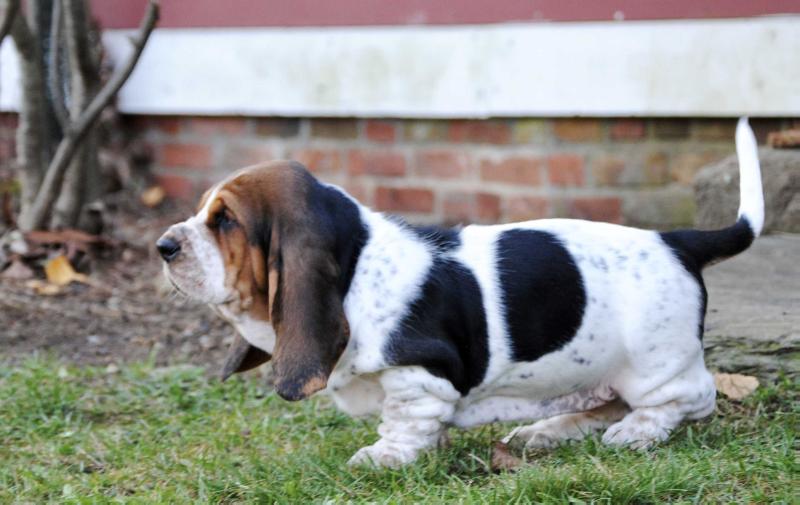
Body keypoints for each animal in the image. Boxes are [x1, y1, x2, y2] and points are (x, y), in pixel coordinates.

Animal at [155, 117, 764, 464]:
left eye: (225, 221)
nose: (163, 245)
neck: (357, 266)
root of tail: (677, 240)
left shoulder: (420, 375)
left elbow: (404, 422)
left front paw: (385, 455)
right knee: (604, 401)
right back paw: (547, 430)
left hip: (656, 364)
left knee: (688, 399)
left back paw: (635, 432)